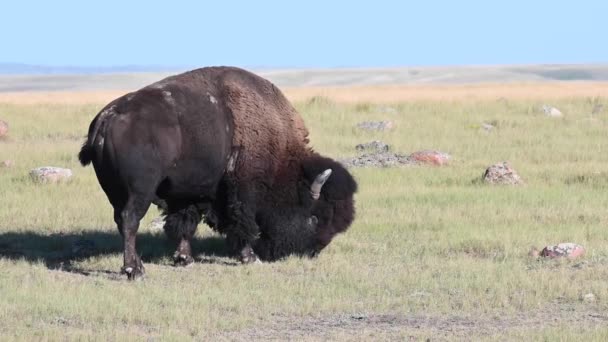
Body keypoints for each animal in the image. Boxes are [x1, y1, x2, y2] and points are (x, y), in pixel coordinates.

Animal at [79, 65, 358, 280]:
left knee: (121, 221)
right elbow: (241, 223)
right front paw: (250, 257)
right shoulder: (241, 192)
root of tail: (107, 118)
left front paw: (184, 258)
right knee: (130, 221)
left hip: (116, 192)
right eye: (314, 218)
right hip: (140, 191)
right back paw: (134, 271)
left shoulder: (188, 193)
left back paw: (139, 265)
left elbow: (185, 223)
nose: (312, 252)